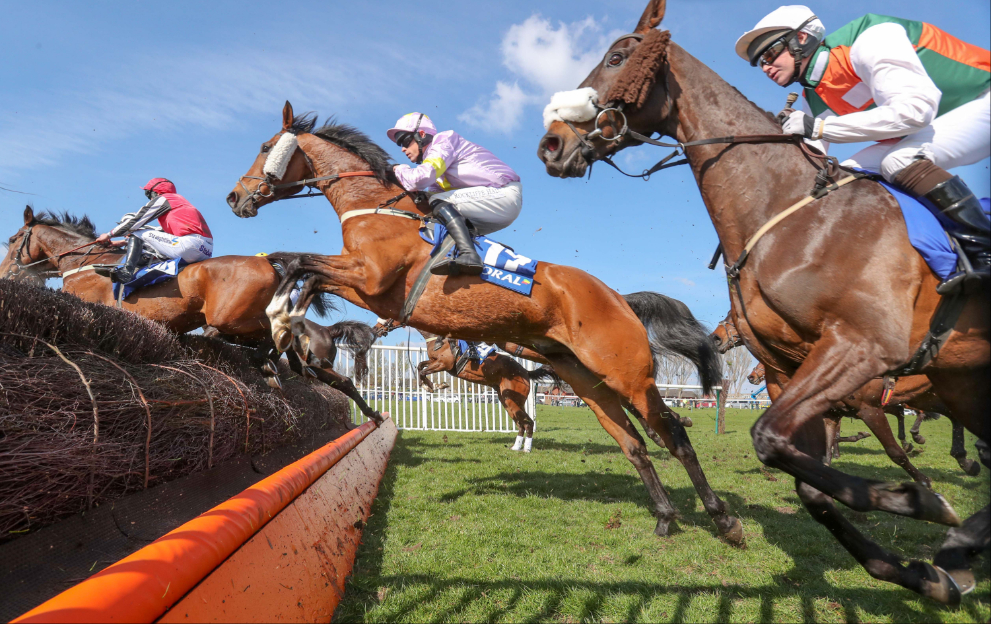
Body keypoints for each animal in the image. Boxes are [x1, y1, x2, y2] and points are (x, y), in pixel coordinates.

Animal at [227, 105, 744, 544]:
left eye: (266, 145)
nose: (235, 196)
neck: (374, 208)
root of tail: (618, 297)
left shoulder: (369, 279)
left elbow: (299, 263)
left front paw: (284, 323)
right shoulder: (361, 284)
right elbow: (298, 265)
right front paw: (283, 324)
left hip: (626, 373)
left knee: (672, 433)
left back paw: (723, 518)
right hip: (589, 381)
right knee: (635, 444)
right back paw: (665, 516)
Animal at [540, 0, 988, 604]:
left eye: (616, 57)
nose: (551, 144)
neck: (790, 212)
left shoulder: (861, 347)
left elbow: (772, 439)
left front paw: (918, 501)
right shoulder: (794, 371)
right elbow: (803, 475)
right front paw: (917, 569)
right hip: (963, 381)